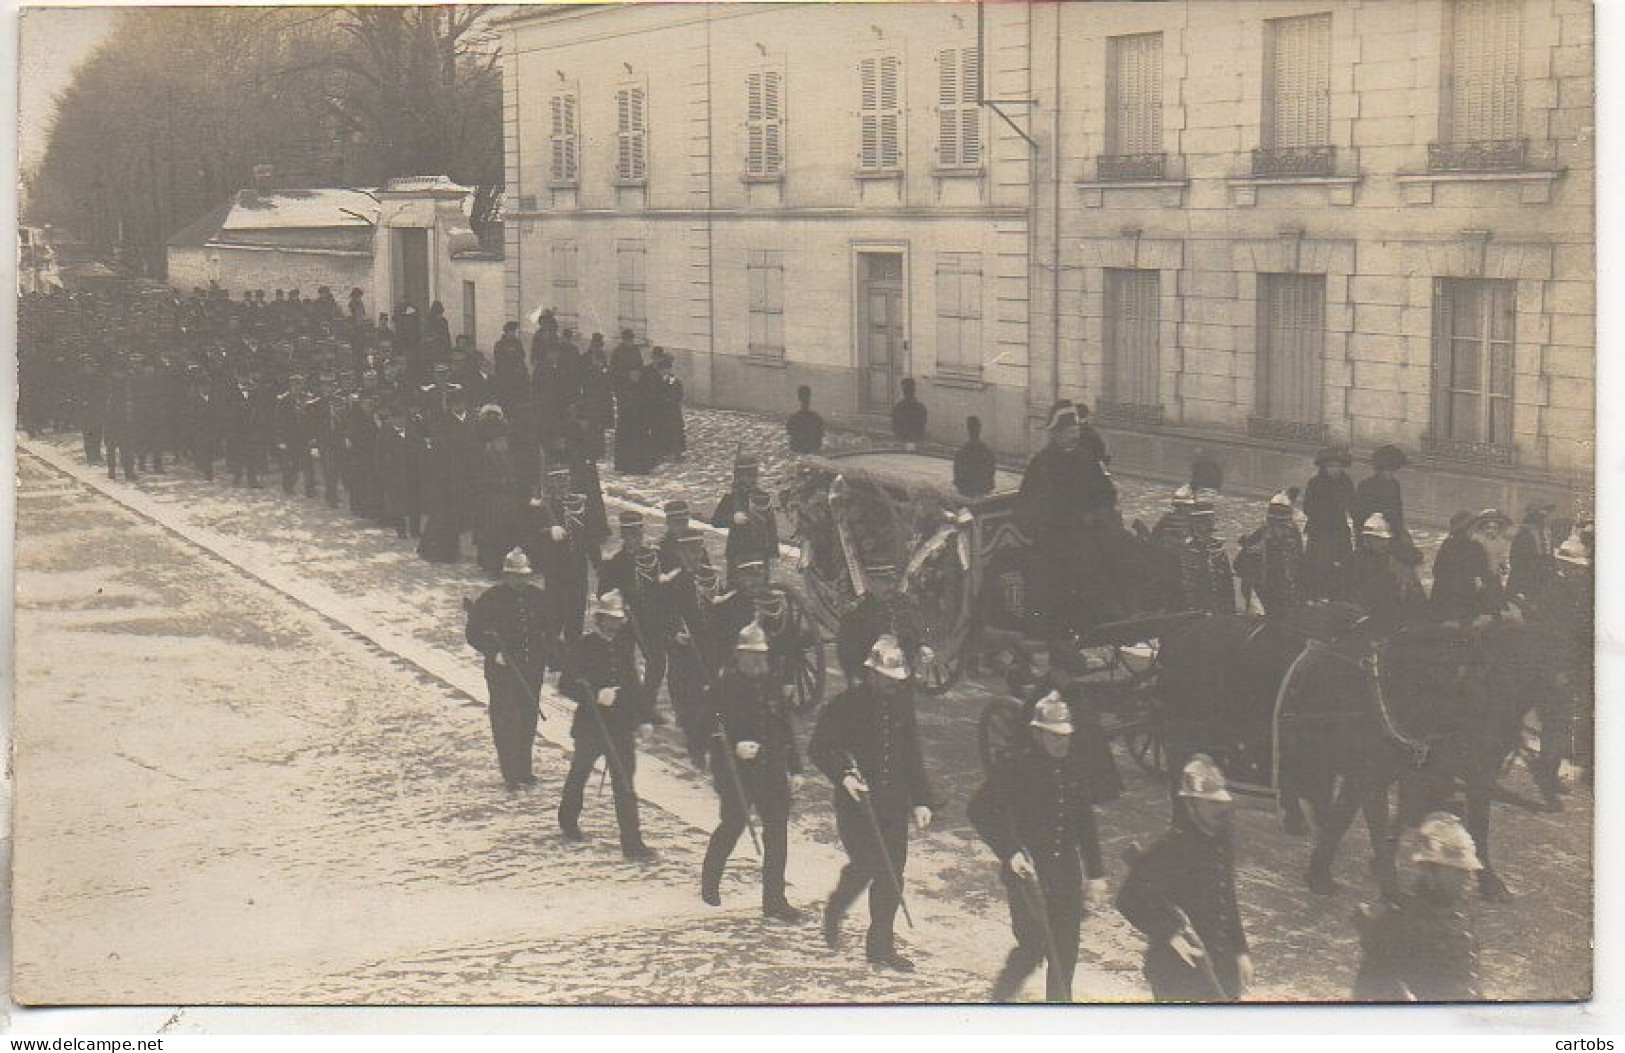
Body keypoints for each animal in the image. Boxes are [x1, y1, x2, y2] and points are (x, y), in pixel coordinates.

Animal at [1157, 607, 1547, 903]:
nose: (1502, 750)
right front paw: (1392, 892)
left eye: (1518, 687)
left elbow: (1343, 818)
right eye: (1471, 686)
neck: (1385, 692)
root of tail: (1185, 630)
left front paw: (1320, 873)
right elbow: (1376, 827)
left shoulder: (1372, 774)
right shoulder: (1372, 777)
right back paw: (1186, 823)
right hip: (1182, 732)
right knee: (1179, 772)